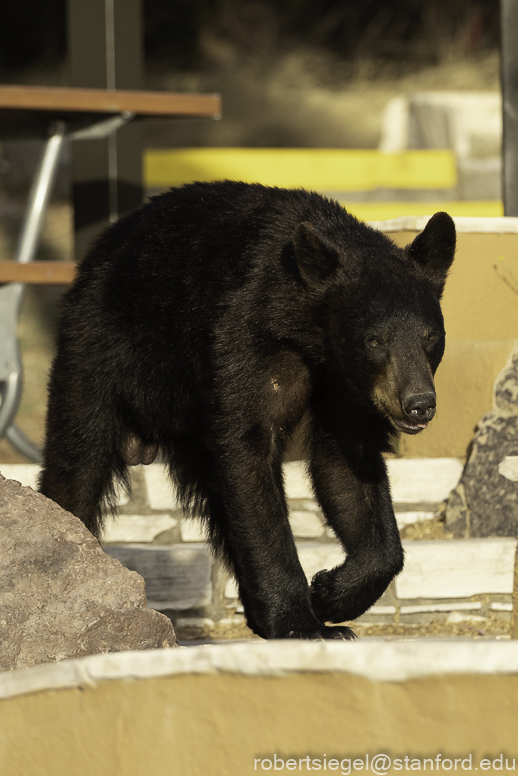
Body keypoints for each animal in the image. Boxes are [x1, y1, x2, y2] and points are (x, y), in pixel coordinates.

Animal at [38, 180, 458, 636]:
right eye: (374, 340)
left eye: (431, 337)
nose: (419, 404)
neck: (308, 327)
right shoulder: (246, 338)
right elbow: (250, 454)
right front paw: (301, 622)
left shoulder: (348, 385)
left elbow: (347, 465)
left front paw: (332, 596)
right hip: (98, 351)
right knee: (78, 458)